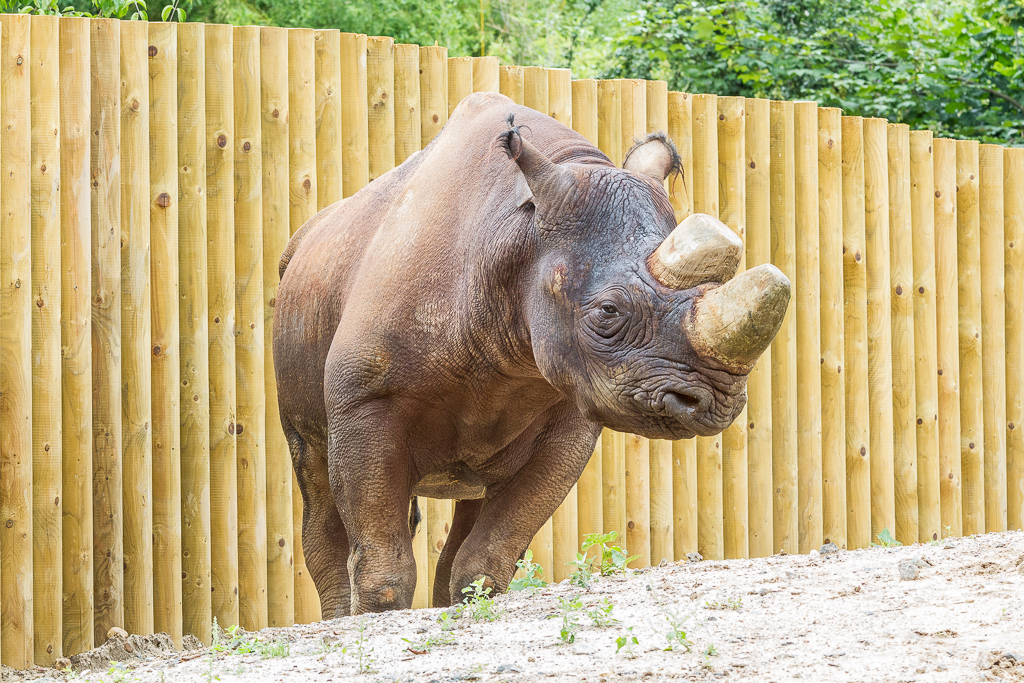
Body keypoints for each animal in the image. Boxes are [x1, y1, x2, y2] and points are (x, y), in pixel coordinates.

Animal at [273, 91, 790, 616]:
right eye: (608, 311)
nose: (713, 402)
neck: (514, 237)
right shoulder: (365, 400)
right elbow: (383, 571)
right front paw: (377, 617)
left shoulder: (568, 417)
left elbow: (489, 556)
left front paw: (472, 604)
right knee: (313, 471)